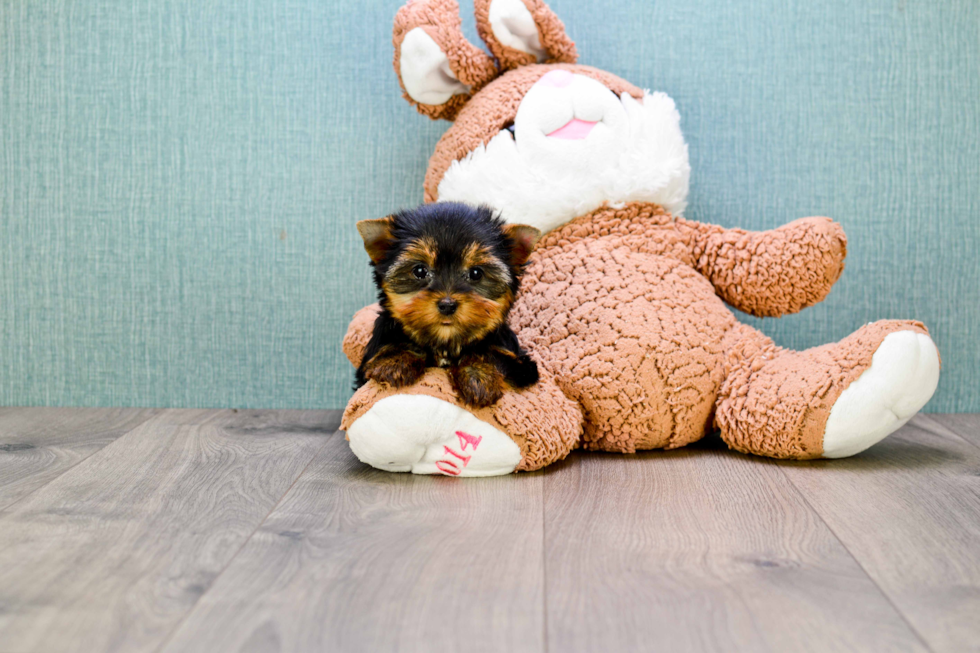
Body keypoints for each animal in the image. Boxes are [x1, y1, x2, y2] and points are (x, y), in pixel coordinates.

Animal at [358, 202, 544, 408]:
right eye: (420, 271)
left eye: (476, 273)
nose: (447, 305)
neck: (445, 343)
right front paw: (394, 361)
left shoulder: (521, 366)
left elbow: (487, 353)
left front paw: (478, 377)